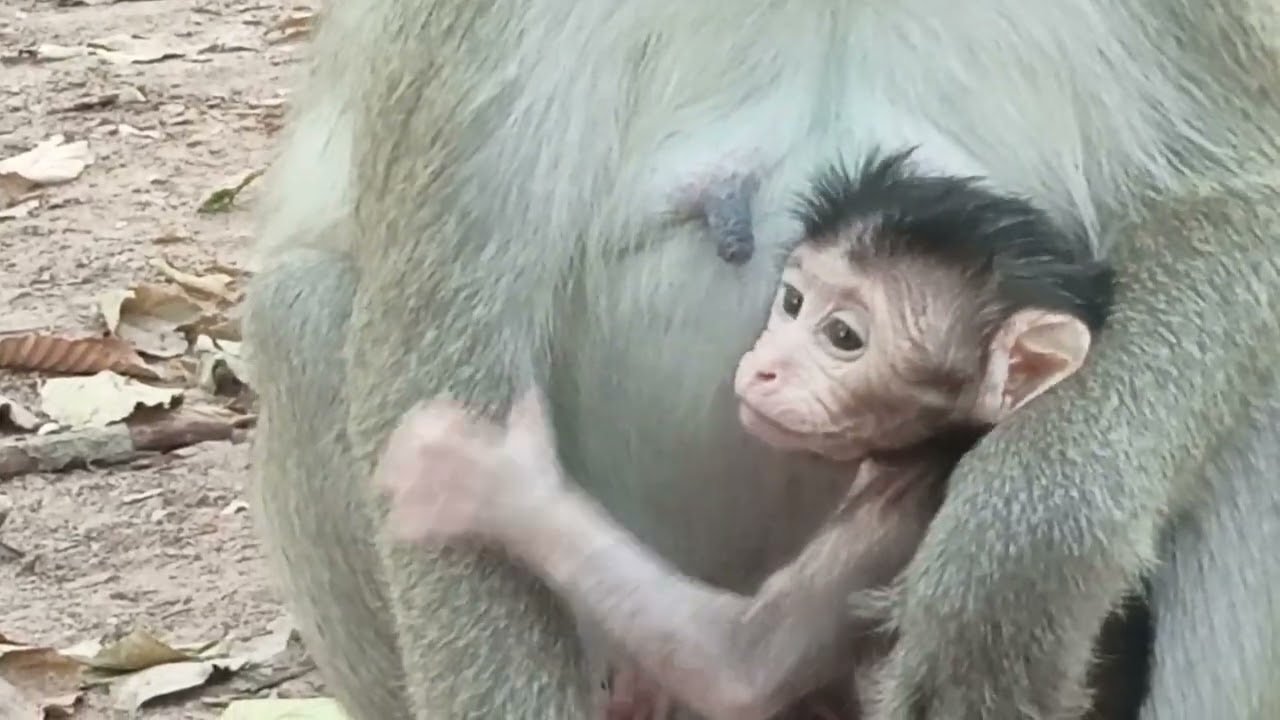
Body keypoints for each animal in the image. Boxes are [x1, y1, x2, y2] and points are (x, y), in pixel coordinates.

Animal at [373, 151, 1116, 720]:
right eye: (791, 303)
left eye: (842, 337)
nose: (763, 366)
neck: (931, 447)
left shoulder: (898, 521)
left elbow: (742, 666)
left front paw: (493, 484)